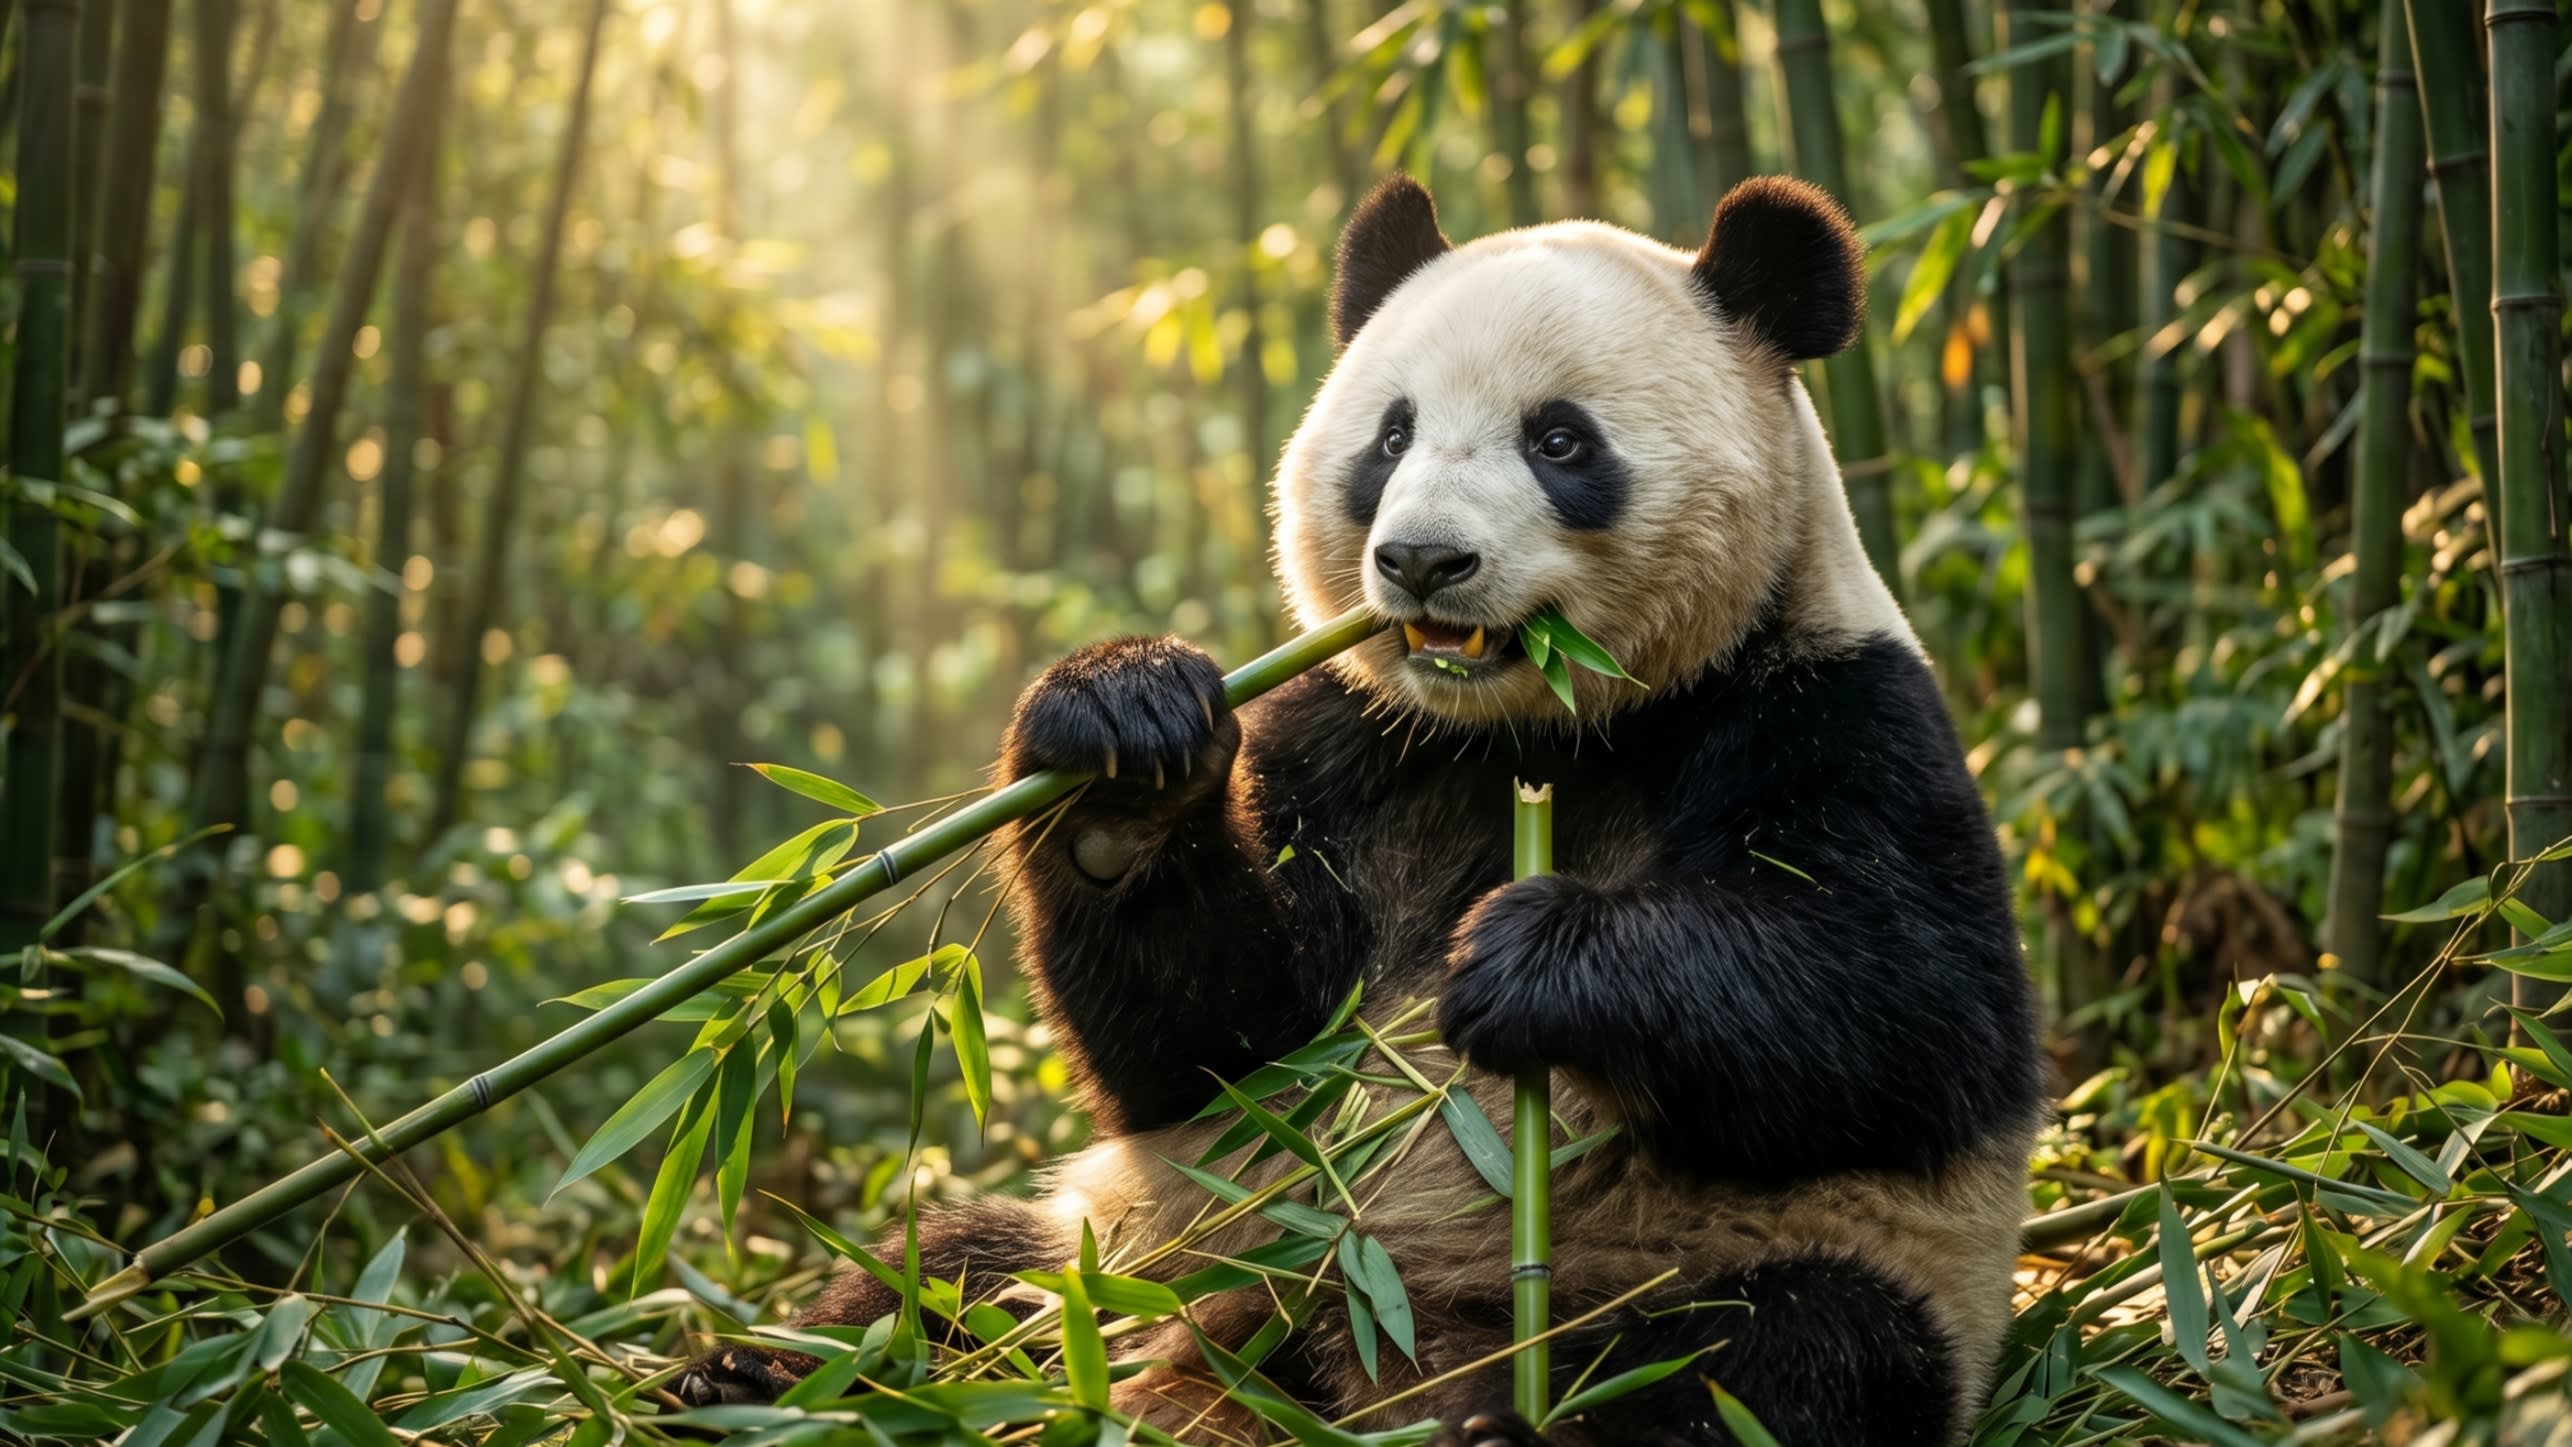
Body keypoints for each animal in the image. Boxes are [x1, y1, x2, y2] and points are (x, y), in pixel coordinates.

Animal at [678, 174, 2042, 1447]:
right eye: (1391, 436)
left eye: (1560, 441)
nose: (1422, 560)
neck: (1530, 730)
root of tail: (1346, 1349)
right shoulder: (1347, 741)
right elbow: (1217, 1038)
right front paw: (1122, 752)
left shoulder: (1831, 708)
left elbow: (1907, 1009)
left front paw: (1527, 957)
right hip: (1131, 1248)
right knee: (941, 1280)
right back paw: (745, 1377)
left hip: (1741, 1266)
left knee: (1779, 1356)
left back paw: (1511, 1423)